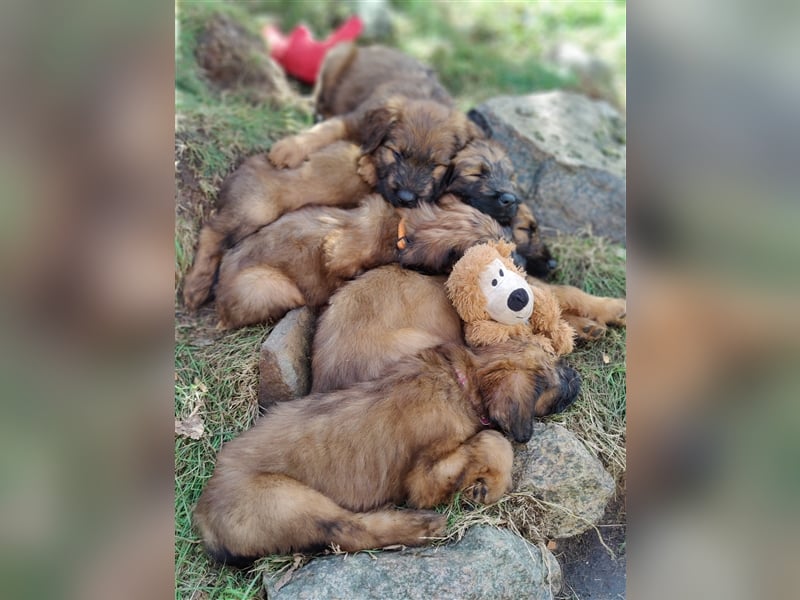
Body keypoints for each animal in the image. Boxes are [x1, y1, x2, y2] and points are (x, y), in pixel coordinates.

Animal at [195, 340, 580, 564]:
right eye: (555, 369)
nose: (576, 375)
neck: (462, 381)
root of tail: (204, 516)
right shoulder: (423, 480)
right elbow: (493, 441)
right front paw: (490, 486)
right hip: (285, 499)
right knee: (350, 531)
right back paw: (420, 526)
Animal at [268, 44, 482, 209]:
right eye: (396, 154)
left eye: (436, 165)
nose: (406, 199)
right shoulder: (352, 120)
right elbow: (324, 131)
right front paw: (289, 148)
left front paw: (368, 166)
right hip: (337, 58)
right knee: (319, 100)